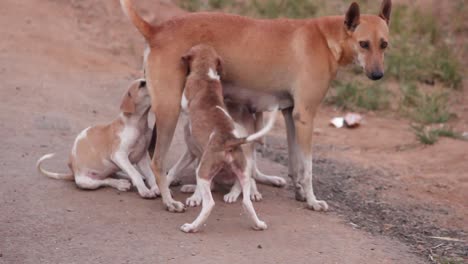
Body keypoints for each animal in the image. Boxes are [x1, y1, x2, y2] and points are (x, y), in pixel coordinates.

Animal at [119, 0, 392, 211]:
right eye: (364, 44)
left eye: (384, 44)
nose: (378, 75)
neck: (326, 38)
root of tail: (157, 29)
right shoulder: (305, 115)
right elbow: (308, 167)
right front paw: (313, 201)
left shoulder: (291, 115)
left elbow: (295, 162)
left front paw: (300, 193)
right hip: (170, 111)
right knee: (157, 161)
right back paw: (168, 200)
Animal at [177, 43, 276, 233]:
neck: (205, 74)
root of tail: (229, 140)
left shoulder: (186, 100)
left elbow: (184, 105)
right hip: (242, 172)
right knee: (246, 201)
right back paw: (258, 223)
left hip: (203, 172)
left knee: (209, 204)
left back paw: (192, 226)